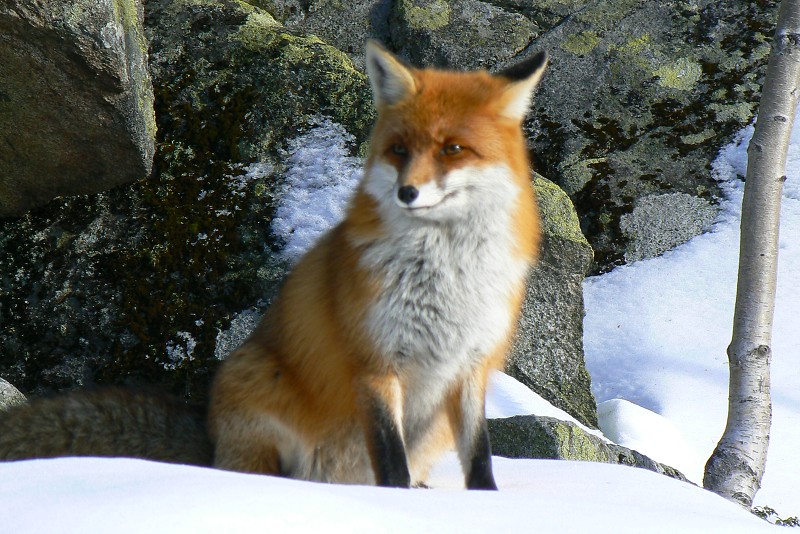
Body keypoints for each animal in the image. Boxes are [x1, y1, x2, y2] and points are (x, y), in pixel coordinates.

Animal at [206, 42, 548, 490]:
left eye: (452, 149)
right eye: (399, 149)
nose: (407, 192)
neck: (445, 278)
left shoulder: (471, 366)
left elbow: (479, 457)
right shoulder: (376, 363)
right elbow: (391, 459)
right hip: (258, 384)